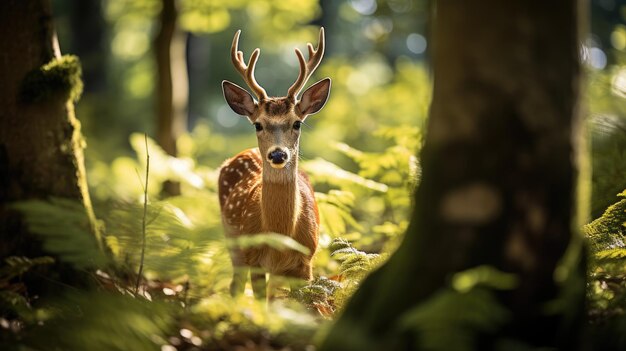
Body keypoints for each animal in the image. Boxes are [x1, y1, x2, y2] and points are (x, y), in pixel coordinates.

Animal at [217, 28, 330, 302]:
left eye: (297, 122)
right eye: (258, 124)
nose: (278, 155)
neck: (280, 237)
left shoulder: (305, 262)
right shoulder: (254, 257)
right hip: (233, 241)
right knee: (236, 286)